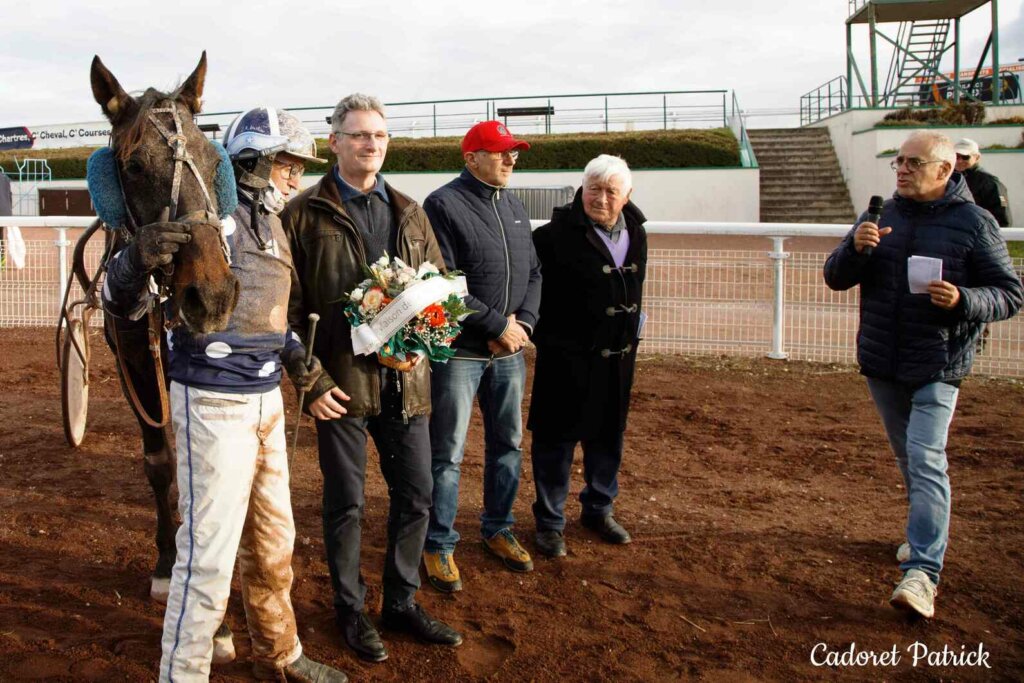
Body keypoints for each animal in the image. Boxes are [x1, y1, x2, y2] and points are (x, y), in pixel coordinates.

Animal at [76, 53, 239, 658]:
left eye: (213, 160)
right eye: (133, 166)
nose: (211, 293)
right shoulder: (137, 361)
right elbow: (161, 463)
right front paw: (170, 563)